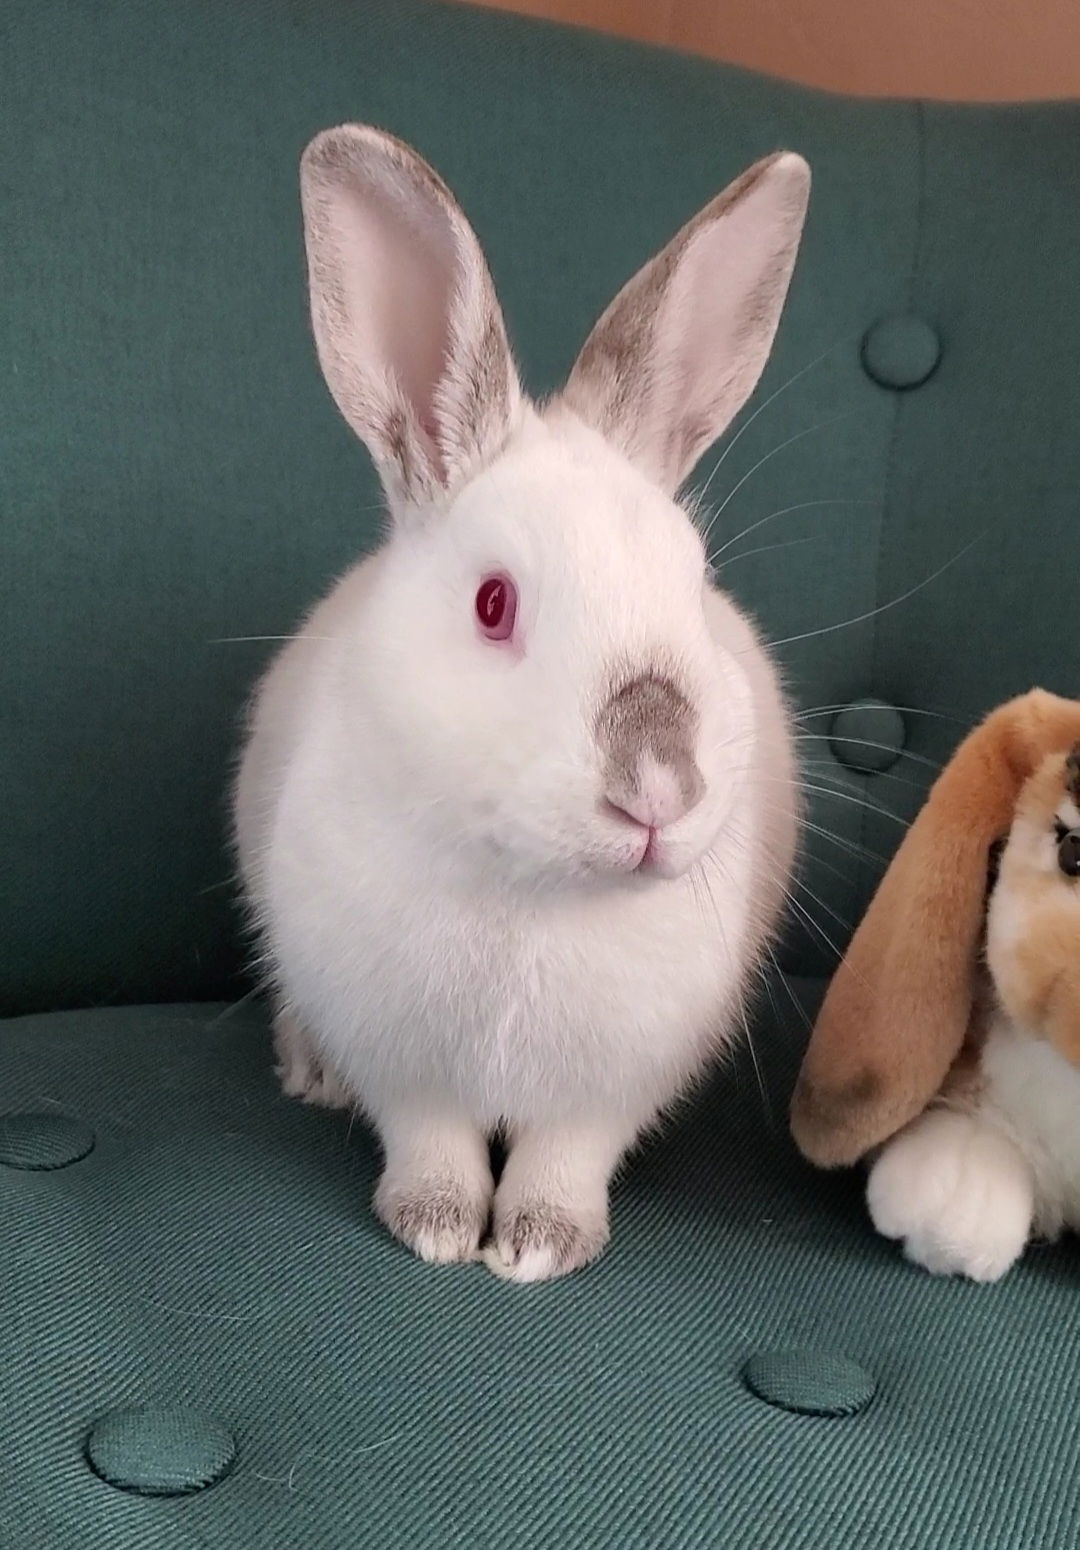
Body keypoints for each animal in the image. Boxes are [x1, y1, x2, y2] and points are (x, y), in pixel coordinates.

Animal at [235, 124, 805, 1283]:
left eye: (697, 582)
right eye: (493, 603)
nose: (659, 786)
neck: (536, 891)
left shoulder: (614, 1086)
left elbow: (564, 1157)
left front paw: (540, 1244)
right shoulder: (400, 1057)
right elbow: (430, 1138)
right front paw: (439, 1226)